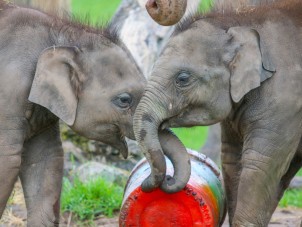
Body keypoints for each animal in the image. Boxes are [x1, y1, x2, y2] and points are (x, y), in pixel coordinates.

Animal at [134, 0, 302, 226]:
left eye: (183, 78)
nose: (166, 180)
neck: (242, 22)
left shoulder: (285, 100)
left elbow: (260, 164)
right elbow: (232, 160)